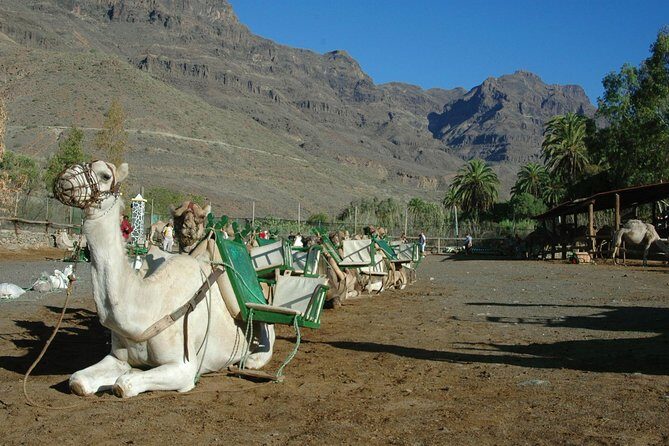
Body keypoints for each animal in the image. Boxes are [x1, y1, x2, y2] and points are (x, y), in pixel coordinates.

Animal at [53, 161, 274, 397]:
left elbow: (124, 384)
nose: (64, 180)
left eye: (105, 175)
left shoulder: (183, 366)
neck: (148, 310)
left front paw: (126, 378)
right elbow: (78, 380)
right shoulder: (117, 357)